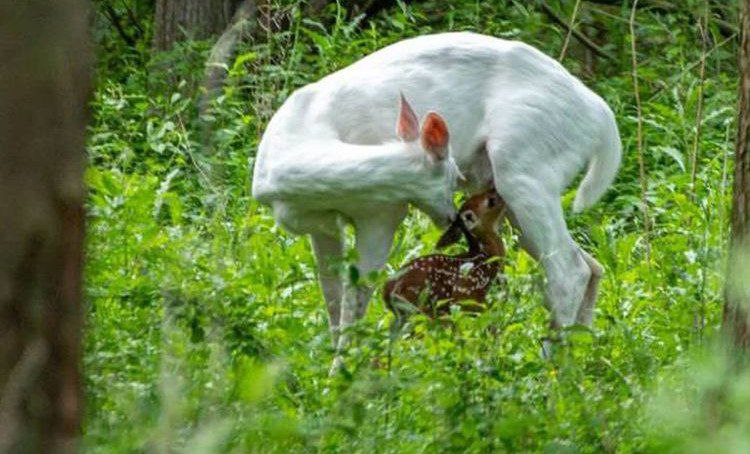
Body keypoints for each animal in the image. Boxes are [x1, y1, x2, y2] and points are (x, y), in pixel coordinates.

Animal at [254, 30, 624, 366]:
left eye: (456, 174)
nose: (451, 218)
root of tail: (601, 118)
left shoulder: (381, 216)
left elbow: (356, 297)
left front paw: (344, 375)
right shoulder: (321, 227)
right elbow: (332, 297)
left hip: (526, 168)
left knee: (567, 271)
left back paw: (546, 370)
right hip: (515, 190)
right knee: (589, 265)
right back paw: (577, 361)